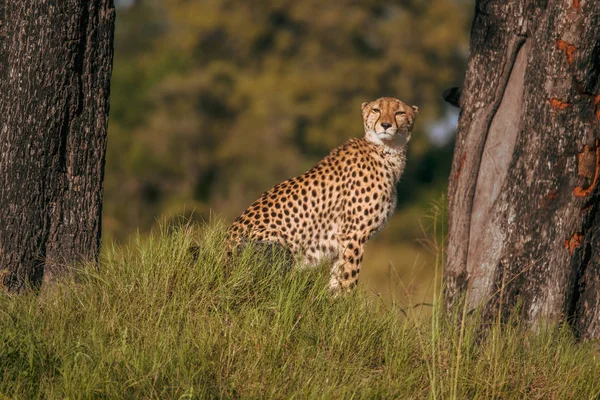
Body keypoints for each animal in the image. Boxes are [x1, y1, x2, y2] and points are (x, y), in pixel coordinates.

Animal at [227, 97, 420, 290]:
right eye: (376, 110)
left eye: (399, 113)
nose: (386, 125)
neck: (386, 152)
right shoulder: (353, 235)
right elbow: (348, 280)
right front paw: (346, 298)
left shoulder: (342, 241)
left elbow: (337, 280)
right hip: (274, 245)